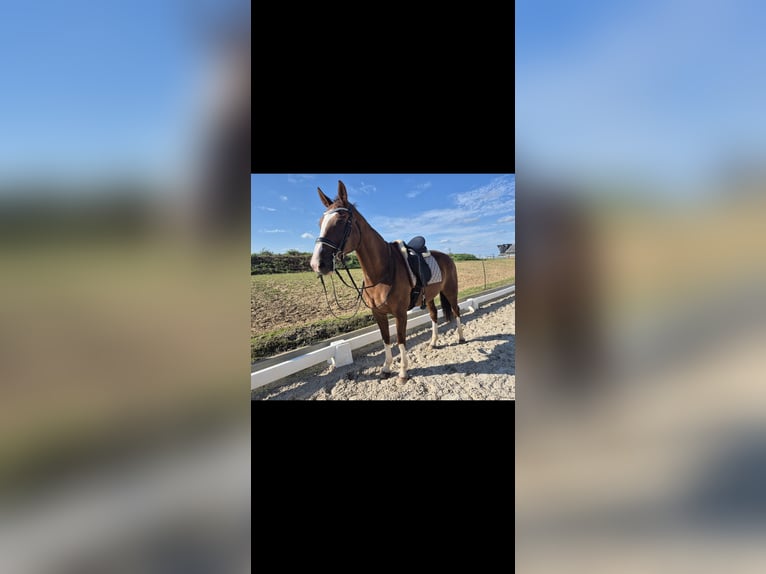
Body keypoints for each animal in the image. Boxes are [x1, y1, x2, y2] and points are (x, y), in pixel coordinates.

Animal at [310, 180, 465, 383]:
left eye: (341, 221)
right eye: (320, 223)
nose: (317, 264)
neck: (382, 272)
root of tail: (447, 257)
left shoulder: (400, 314)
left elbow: (400, 340)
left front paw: (403, 372)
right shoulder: (379, 314)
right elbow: (386, 340)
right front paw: (386, 368)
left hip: (450, 291)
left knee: (456, 311)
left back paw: (461, 338)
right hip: (430, 296)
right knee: (433, 315)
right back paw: (433, 342)